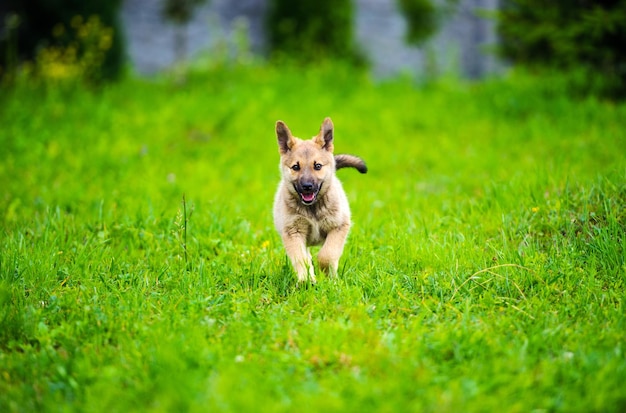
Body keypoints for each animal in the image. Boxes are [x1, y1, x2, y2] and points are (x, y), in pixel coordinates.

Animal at [272, 117, 366, 282]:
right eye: (295, 167)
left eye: (317, 166)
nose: (307, 187)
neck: (312, 208)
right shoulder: (293, 232)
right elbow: (301, 259)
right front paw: (306, 281)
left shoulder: (339, 227)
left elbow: (327, 255)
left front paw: (328, 276)